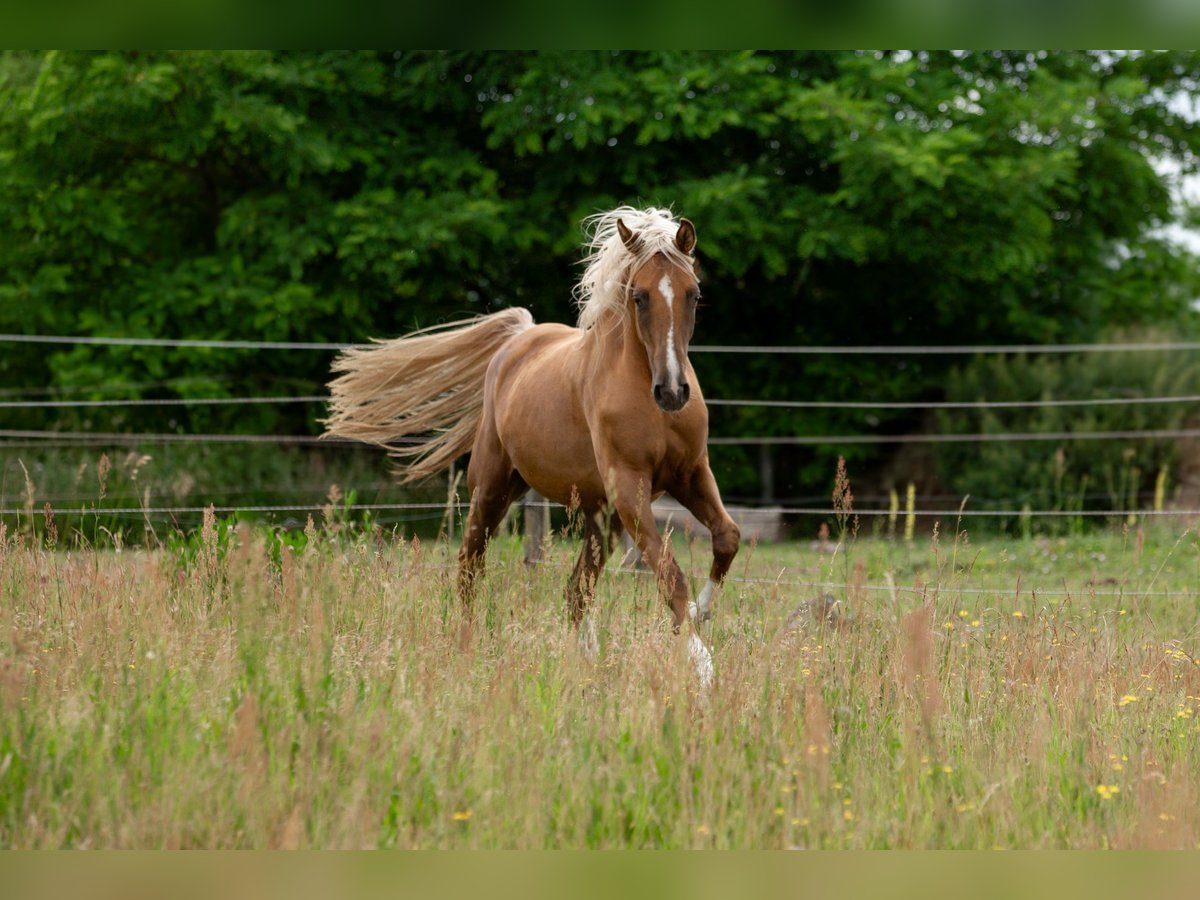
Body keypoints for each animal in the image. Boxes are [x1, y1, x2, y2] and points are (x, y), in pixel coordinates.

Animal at [323, 207, 740, 684]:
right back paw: (466, 652)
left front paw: (702, 613)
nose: (672, 392)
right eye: (639, 296)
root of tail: (517, 340)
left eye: (693, 293)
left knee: (576, 589)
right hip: (493, 489)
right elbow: (670, 575)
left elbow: (727, 537)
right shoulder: (630, 486)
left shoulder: (690, 473)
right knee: (470, 568)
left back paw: (586, 665)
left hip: (601, 515)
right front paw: (704, 666)